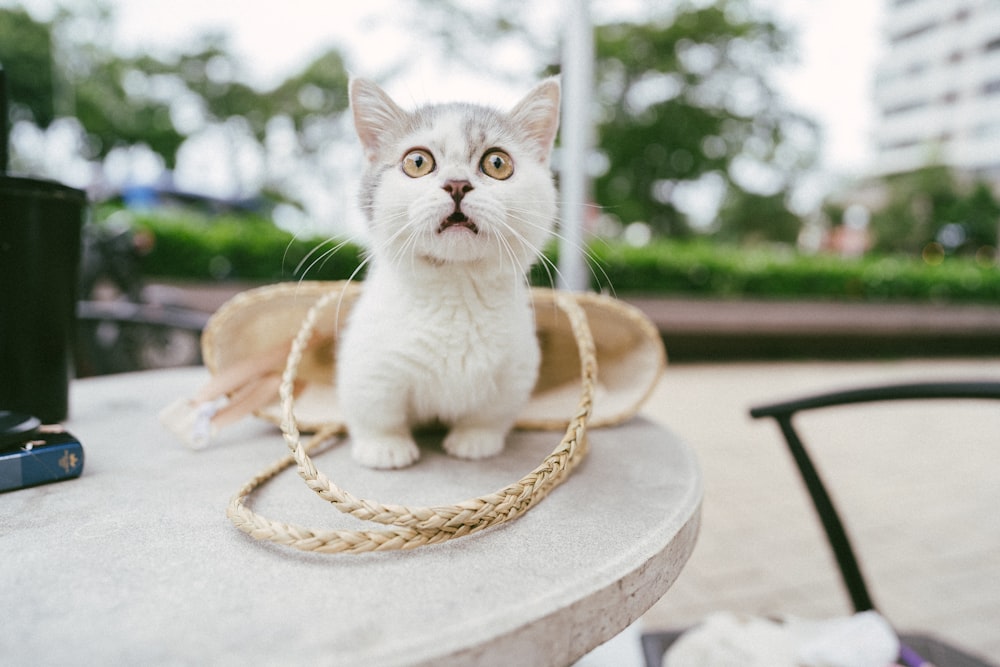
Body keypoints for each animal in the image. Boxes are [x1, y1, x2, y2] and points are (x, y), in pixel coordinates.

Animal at [340, 79, 564, 470]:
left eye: (497, 163)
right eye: (417, 161)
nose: (458, 184)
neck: (456, 288)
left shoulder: (514, 372)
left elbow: (489, 415)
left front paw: (475, 441)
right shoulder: (369, 366)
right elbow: (377, 410)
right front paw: (384, 448)